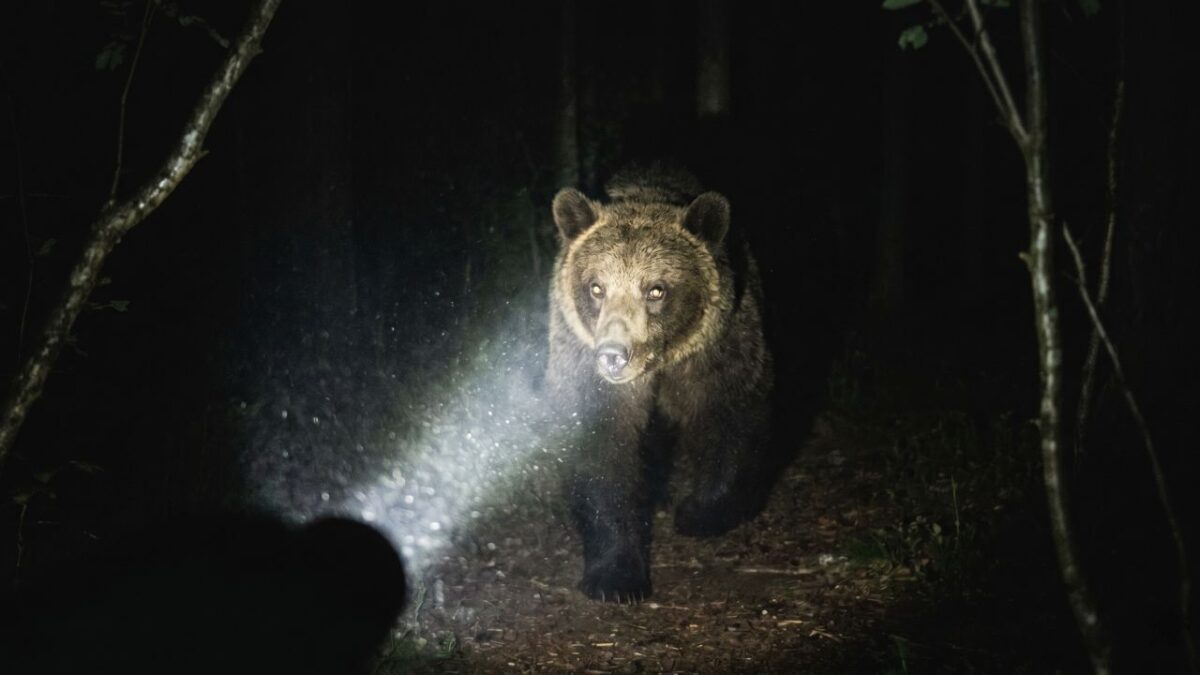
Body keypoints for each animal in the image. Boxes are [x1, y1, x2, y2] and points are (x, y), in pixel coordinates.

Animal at [546, 164, 773, 602]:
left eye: (656, 289)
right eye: (596, 286)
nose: (614, 355)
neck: (660, 364)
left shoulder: (716, 346)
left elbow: (730, 411)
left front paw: (704, 510)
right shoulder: (585, 364)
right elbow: (603, 452)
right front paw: (615, 575)